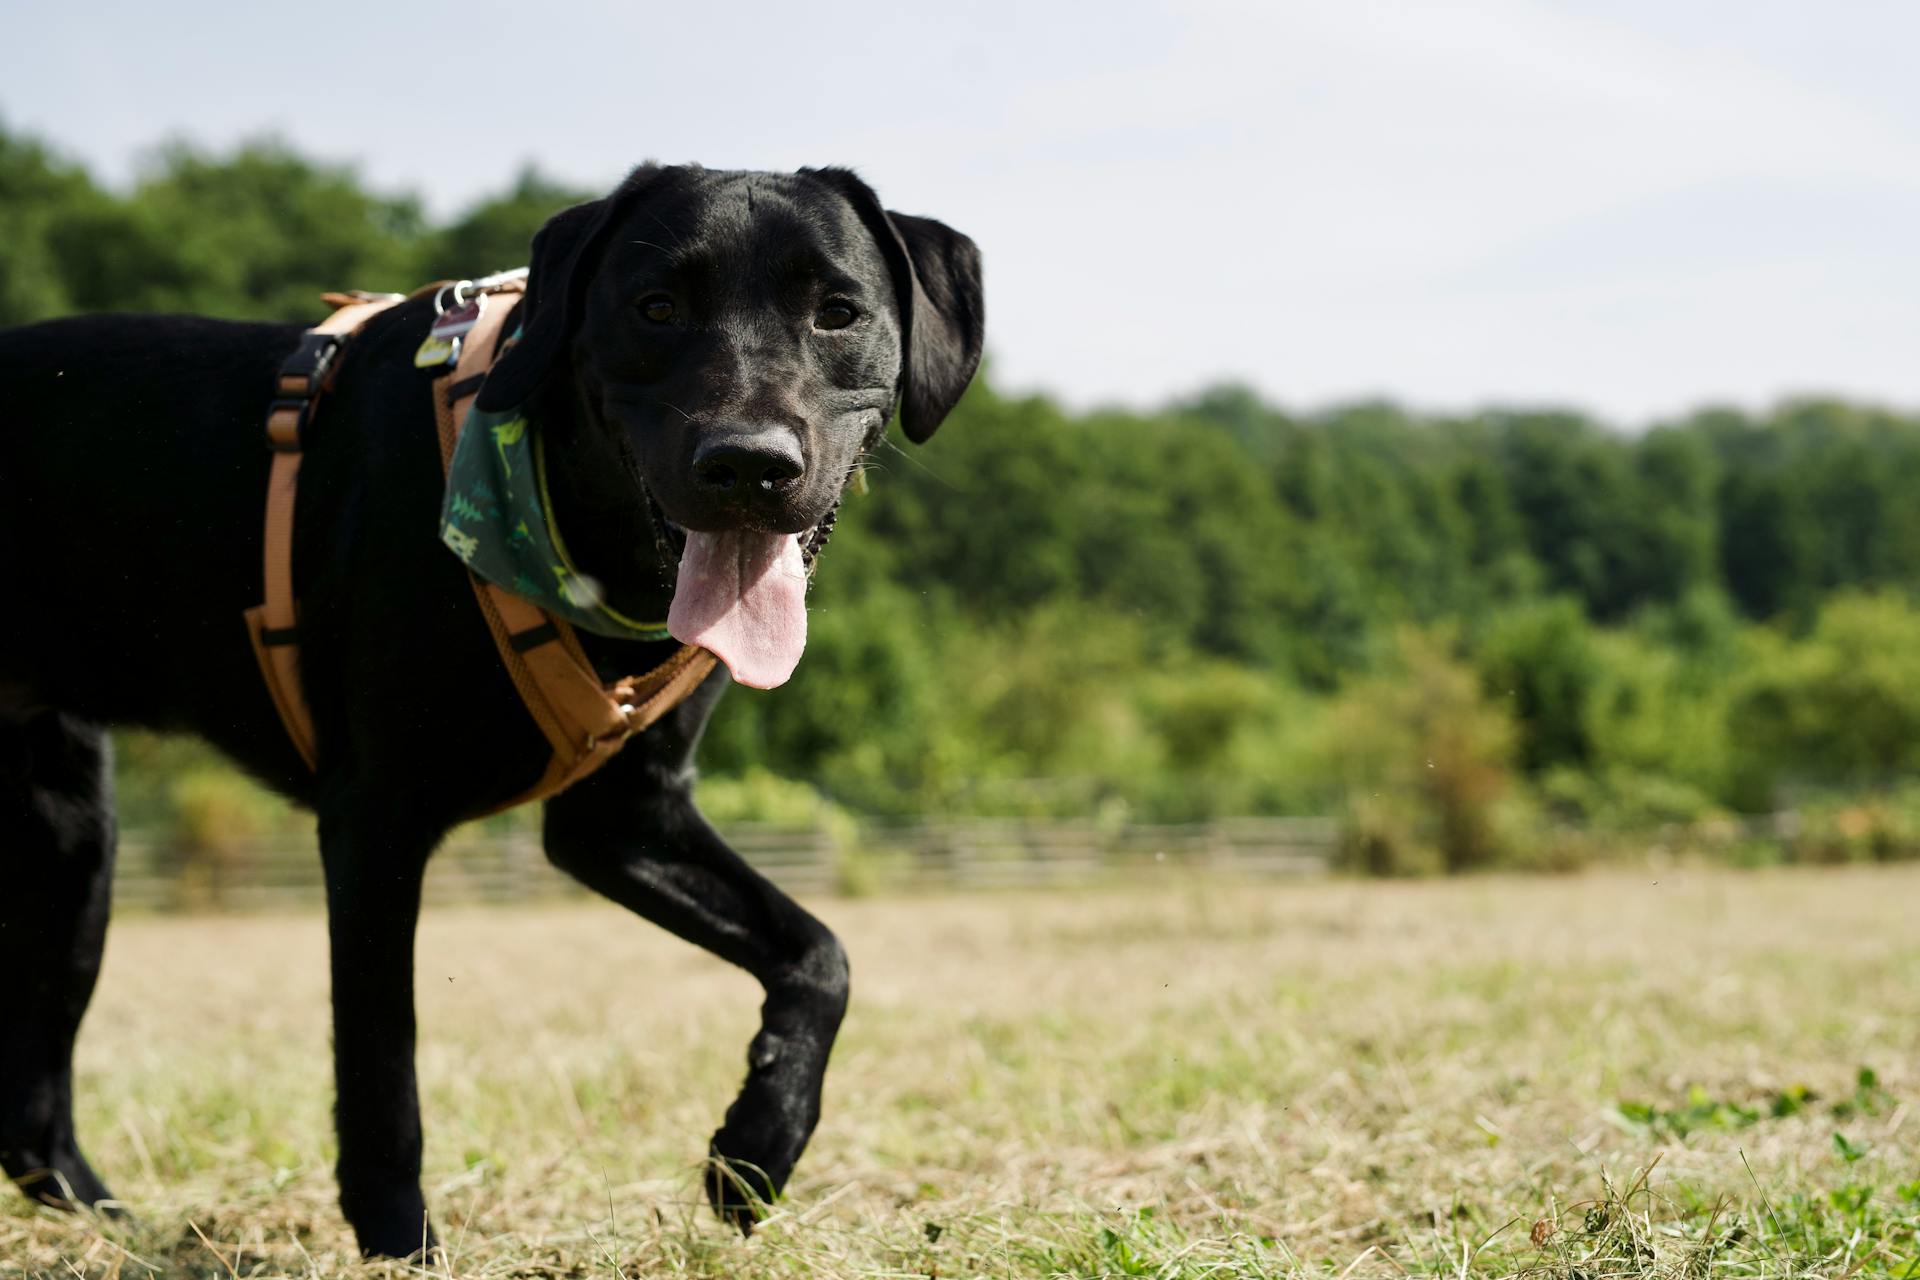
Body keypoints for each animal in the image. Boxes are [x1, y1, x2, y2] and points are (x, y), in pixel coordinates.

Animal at [0, 165, 983, 1258]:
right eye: (656, 308)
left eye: (838, 312)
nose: (747, 465)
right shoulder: (375, 819)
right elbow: (383, 1064)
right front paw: (400, 1243)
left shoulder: (625, 816)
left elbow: (820, 953)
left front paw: (758, 1145)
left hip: (72, 843)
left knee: (32, 1109)